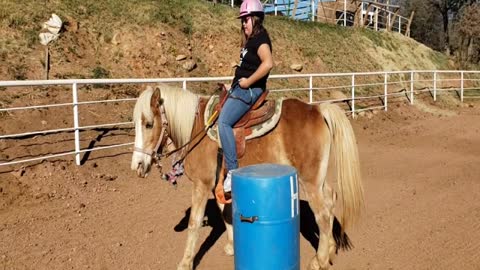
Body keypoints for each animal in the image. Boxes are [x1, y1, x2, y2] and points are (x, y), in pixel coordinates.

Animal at [131, 85, 364, 270]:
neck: (195, 128)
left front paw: (185, 263)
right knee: (331, 200)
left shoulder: (201, 184)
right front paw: (232, 246)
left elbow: (194, 223)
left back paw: (319, 261)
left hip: (309, 181)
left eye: (149, 124)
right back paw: (330, 249)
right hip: (318, 180)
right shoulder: (219, 182)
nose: (137, 166)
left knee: (322, 215)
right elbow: (225, 213)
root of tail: (317, 109)